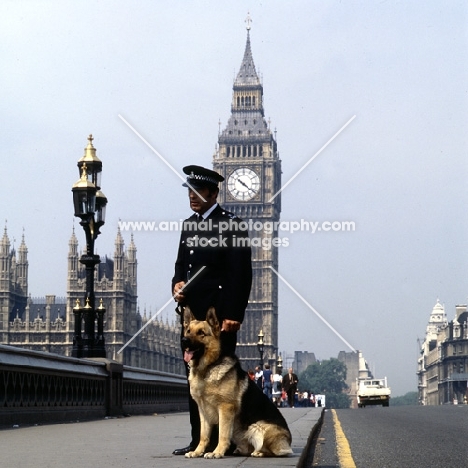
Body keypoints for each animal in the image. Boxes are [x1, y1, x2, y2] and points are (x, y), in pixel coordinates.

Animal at [181, 306, 290, 458]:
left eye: (201, 333)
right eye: (188, 331)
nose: (184, 340)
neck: (207, 368)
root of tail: (288, 440)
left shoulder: (226, 407)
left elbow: (222, 433)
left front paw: (217, 452)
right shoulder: (203, 410)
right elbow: (203, 435)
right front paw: (197, 452)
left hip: (257, 427)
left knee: (274, 450)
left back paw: (258, 452)